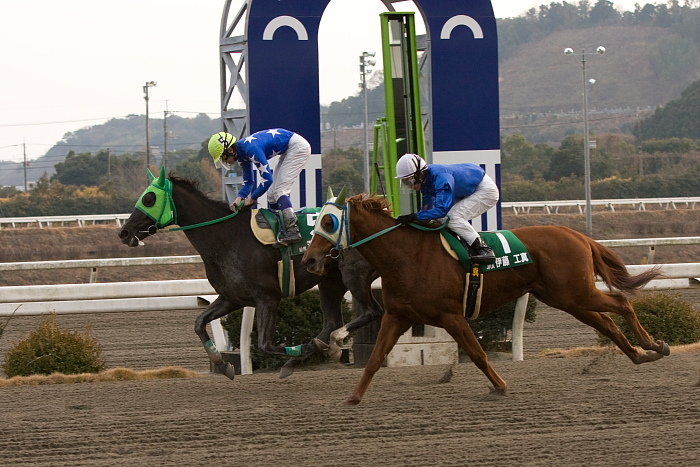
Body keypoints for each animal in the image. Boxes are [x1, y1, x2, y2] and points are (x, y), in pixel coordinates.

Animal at [120, 168, 382, 380]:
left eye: (149, 198)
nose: (124, 232)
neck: (227, 236)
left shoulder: (267, 298)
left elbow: (265, 344)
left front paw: (303, 348)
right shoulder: (232, 298)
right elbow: (199, 323)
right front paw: (221, 364)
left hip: (353, 276)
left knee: (372, 311)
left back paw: (323, 346)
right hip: (330, 281)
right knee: (332, 322)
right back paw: (318, 350)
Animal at [302, 192, 672, 404]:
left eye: (328, 221)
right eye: (316, 223)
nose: (308, 259)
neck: (406, 256)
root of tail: (576, 233)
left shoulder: (451, 316)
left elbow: (478, 354)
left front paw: (500, 386)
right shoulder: (398, 315)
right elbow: (376, 358)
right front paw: (353, 397)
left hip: (575, 292)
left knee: (621, 304)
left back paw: (655, 346)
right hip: (566, 298)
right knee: (607, 321)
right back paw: (640, 355)